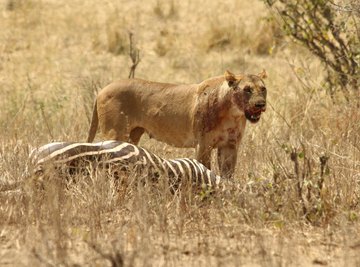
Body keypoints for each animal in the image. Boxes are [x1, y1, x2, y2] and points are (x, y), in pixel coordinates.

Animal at [87, 70, 268, 179]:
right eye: (247, 89)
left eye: (263, 89)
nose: (260, 104)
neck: (233, 113)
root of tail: (102, 90)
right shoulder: (203, 144)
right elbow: (205, 168)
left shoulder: (230, 146)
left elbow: (228, 175)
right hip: (115, 132)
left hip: (133, 134)